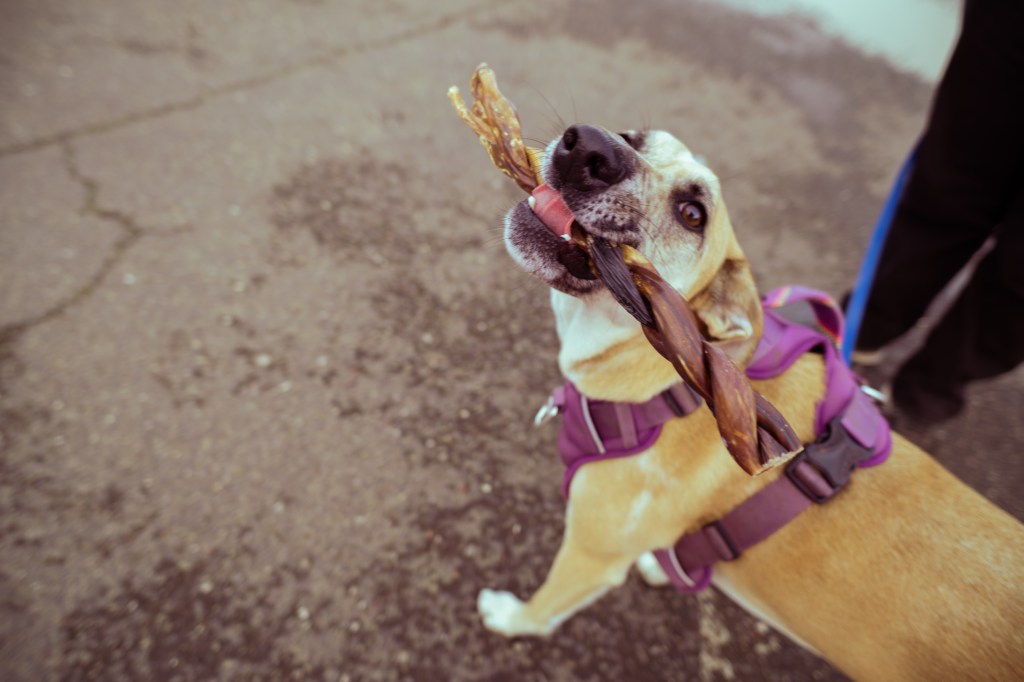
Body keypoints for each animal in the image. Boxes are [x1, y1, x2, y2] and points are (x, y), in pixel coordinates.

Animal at [478, 125, 1024, 680]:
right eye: (635, 136)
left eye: (693, 214)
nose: (590, 146)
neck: (674, 387)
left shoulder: (591, 554)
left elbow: (544, 608)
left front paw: (510, 617)